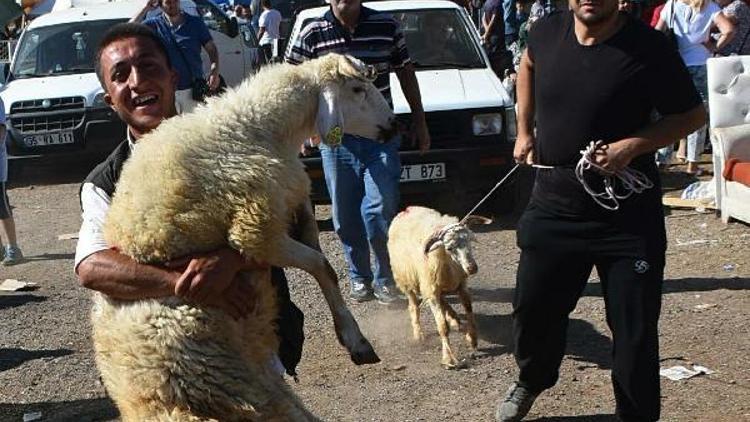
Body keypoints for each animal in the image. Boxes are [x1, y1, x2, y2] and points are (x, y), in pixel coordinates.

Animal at [388, 206, 494, 368]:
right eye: (449, 248)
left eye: (470, 240)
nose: (472, 268)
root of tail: (406, 210)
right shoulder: (432, 292)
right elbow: (442, 327)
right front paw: (448, 358)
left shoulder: (461, 286)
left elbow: (469, 311)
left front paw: (472, 339)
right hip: (408, 279)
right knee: (413, 306)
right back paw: (419, 334)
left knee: (444, 301)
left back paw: (454, 318)